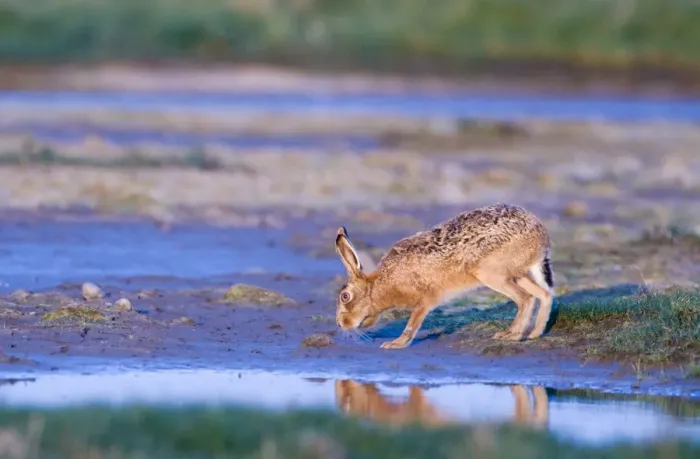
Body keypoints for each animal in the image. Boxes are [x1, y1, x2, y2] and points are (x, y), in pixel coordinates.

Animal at [334, 203, 554, 349]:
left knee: (526, 299)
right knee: (543, 294)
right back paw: (534, 333)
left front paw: (395, 344)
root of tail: (541, 237)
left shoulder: (425, 299)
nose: (340, 324)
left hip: (491, 273)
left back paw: (512, 336)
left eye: (345, 296)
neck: (379, 285)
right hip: (515, 274)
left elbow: (412, 324)